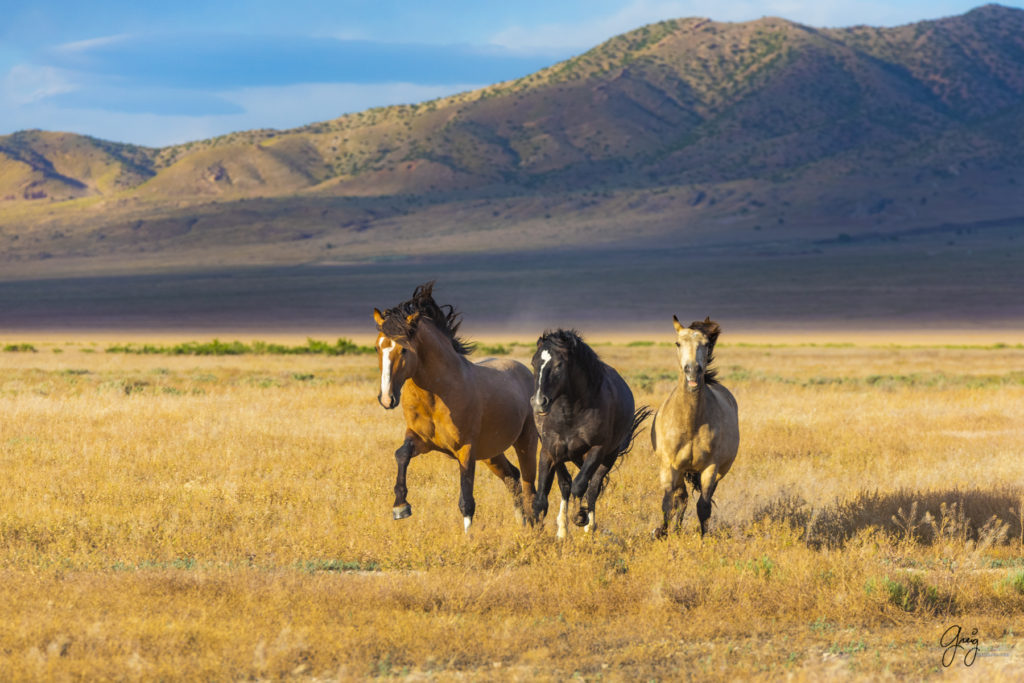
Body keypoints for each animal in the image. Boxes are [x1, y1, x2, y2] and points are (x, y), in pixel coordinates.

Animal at [372, 280, 540, 532]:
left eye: (403, 349)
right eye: (377, 347)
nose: (386, 399)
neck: (436, 396)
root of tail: (525, 372)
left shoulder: (466, 450)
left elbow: (466, 500)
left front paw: (468, 538)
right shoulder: (421, 440)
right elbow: (401, 454)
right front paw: (400, 507)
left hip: (525, 441)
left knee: (531, 488)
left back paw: (534, 528)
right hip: (491, 453)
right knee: (512, 476)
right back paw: (522, 523)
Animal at [532, 331, 651, 540]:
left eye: (559, 365)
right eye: (533, 363)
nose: (539, 403)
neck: (570, 413)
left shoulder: (597, 450)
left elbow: (581, 486)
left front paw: (580, 516)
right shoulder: (549, 452)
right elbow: (543, 496)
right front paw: (538, 532)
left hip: (608, 457)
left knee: (593, 486)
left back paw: (589, 526)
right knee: (566, 484)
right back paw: (562, 530)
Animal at [655, 317, 737, 540]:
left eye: (707, 344)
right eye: (678, 343)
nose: (692, 371)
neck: (690, 422)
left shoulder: (711, 467)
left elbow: (703, 507)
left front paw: (703, 539)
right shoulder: (670, 466)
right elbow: (668, 503)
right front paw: (660, 533)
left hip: (718, 472)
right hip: (681, 471)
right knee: (681, 498)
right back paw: (675, 529)